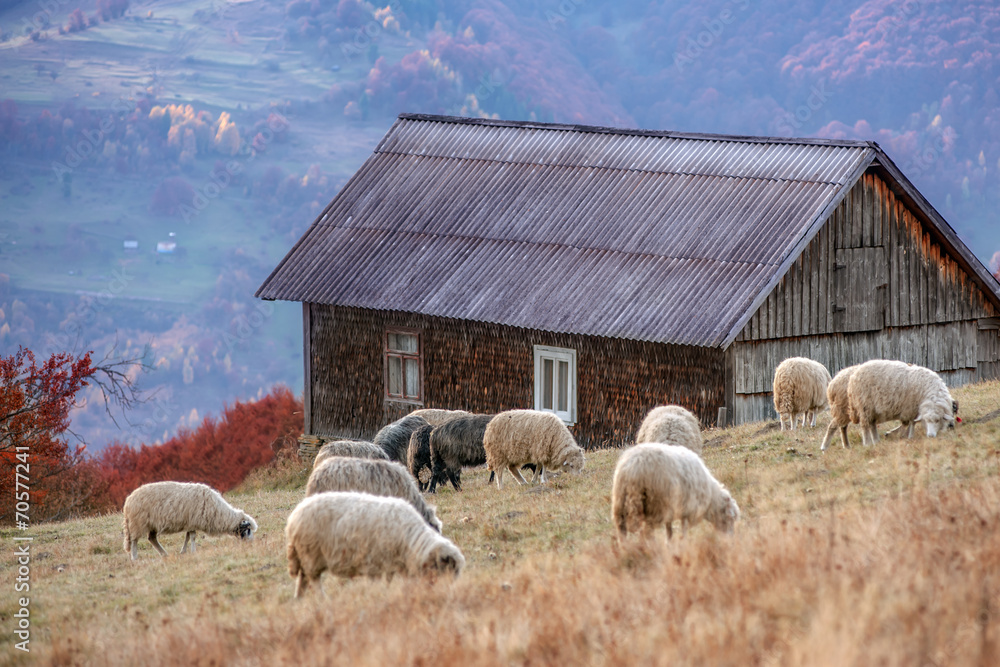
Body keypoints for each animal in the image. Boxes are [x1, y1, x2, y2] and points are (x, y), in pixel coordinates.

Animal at [121, 482, 258, 560]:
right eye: (248, 530)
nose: (252, 544)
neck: (219, 513)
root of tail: (128, 501)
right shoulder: (193, 521)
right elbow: (192, 537)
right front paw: (193, 551)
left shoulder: (190, 522)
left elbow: (187, 536)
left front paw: (184, 551)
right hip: (137, 523)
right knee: (134, 541)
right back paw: (134, 557)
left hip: (151, 524)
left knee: (152, 538)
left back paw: (164, 554)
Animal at [286, 490, 464, 596]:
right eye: (447, 569)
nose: (448, 592)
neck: (411, 541)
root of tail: (293, 517)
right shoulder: (378, 563)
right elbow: (381, 583)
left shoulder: (391, 565)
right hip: (311, 556)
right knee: (313, 581)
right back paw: (322, 599)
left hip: (306, 557)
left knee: (302, 580)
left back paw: (300, 600)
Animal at [604, 444, 740, 544]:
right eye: (730, 518)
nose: (731, 540)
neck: (710, 496)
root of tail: (634, 467)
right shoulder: (686, 508)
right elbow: (683, 528)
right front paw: (683, 542)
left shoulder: (670, 509)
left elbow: (669, 529)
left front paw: (669, 543)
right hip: (653, 504)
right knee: (647, 533)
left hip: (620, 502)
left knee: (622, 531)